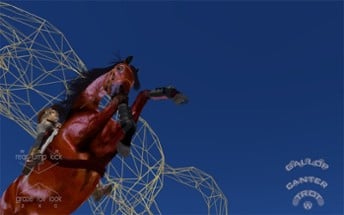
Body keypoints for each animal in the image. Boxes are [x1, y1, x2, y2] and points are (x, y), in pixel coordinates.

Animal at [0, 56, 188, 214]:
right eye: (119, 68)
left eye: (133, 77)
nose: (123, 91)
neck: (83, 109)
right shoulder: (77, 140)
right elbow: (112, 107)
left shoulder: (106, 147)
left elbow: (139, 100)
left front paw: (173, 93)